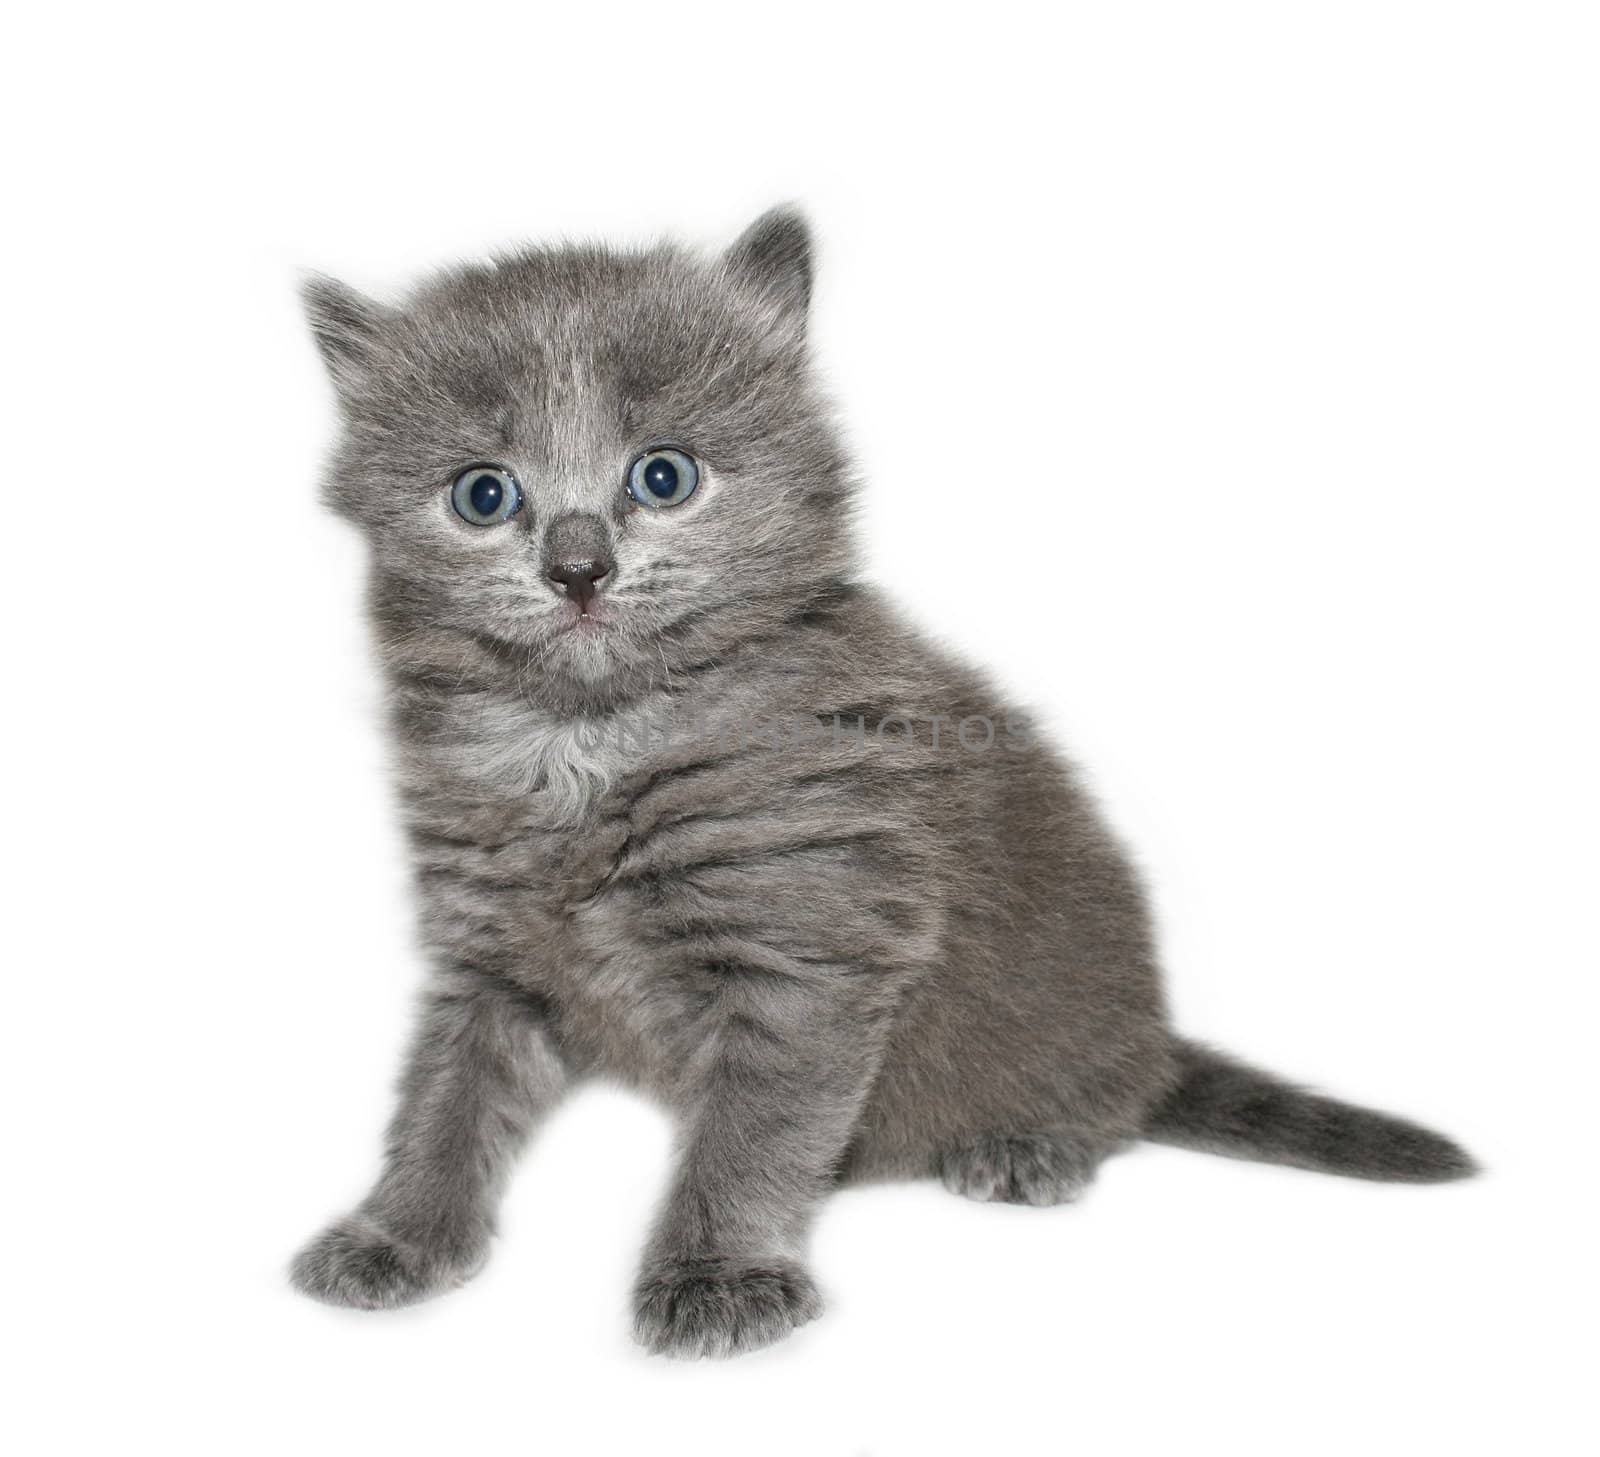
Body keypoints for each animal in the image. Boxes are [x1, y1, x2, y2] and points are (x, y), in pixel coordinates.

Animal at [291, 211, 1472, 1362]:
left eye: (663, 476)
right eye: (482, 494)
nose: (577, 568)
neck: (587, 741)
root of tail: (1152, 1031)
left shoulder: (809, 950)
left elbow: (750, 1135)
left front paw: (717, 1274)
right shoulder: (489, 958)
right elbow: (446, 1101)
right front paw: (397, 1234)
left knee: (1111, 1097)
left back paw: (1029, 1141)